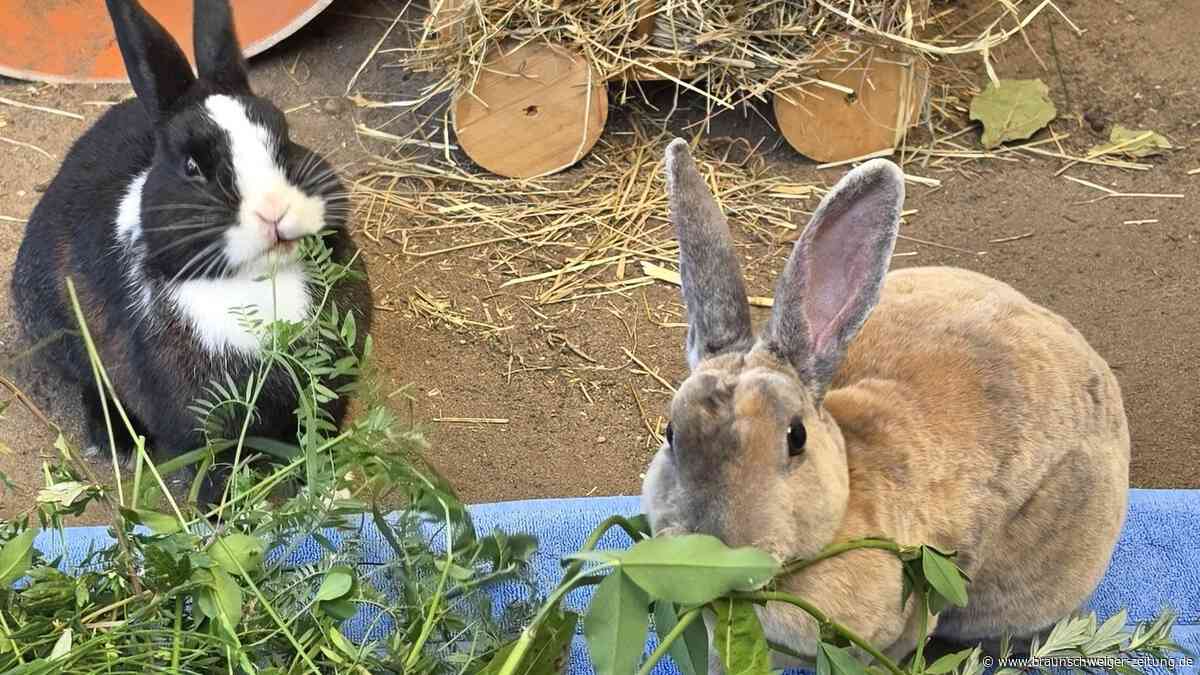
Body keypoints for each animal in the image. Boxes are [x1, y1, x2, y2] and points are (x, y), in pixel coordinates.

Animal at [10, 0, 371, 507]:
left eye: (285, 138)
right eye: (192, 166)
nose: (274, 211)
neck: (261, 280)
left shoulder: (328, 391)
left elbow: (317, 437)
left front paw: (322, 490)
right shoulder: (198, 419)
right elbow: (213, 467)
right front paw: (224, 512)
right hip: (62, 329)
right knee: (92, 381)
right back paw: (115, 442)